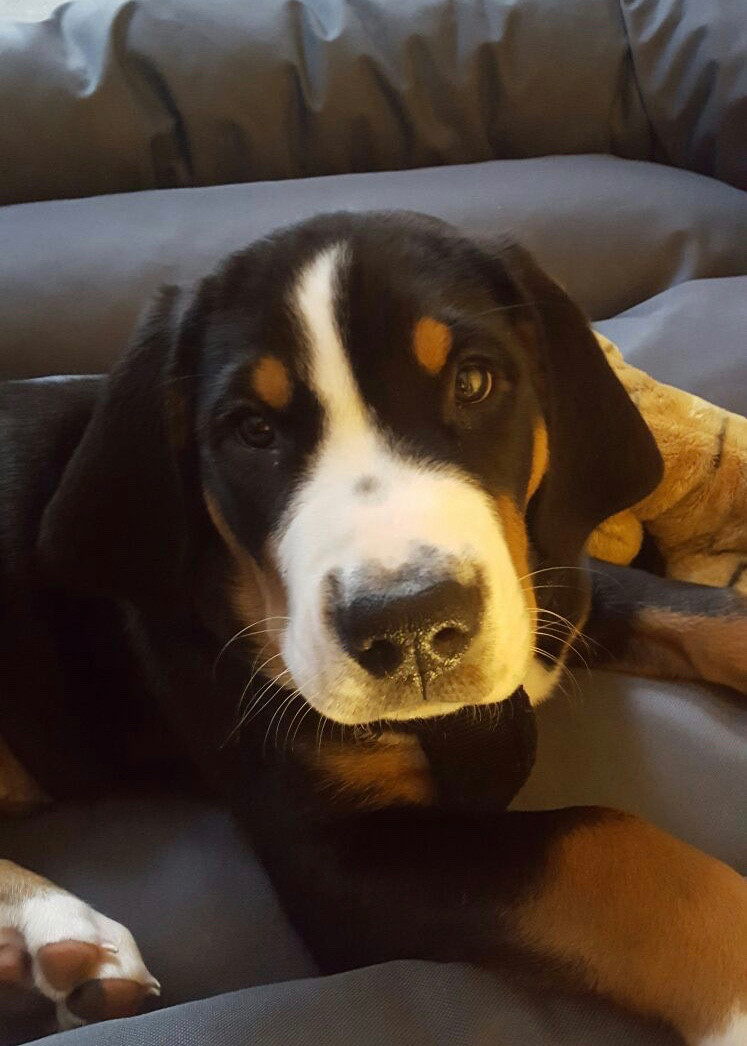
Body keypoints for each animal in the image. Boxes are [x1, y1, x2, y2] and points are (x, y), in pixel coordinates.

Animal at [1, 212, 745, 1044]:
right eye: (250, 430)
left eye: (473, 382)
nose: (411, 623)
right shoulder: (338, 860)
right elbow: (605, 846)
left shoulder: (553, 584)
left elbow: (702, 609)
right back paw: (62, 932)